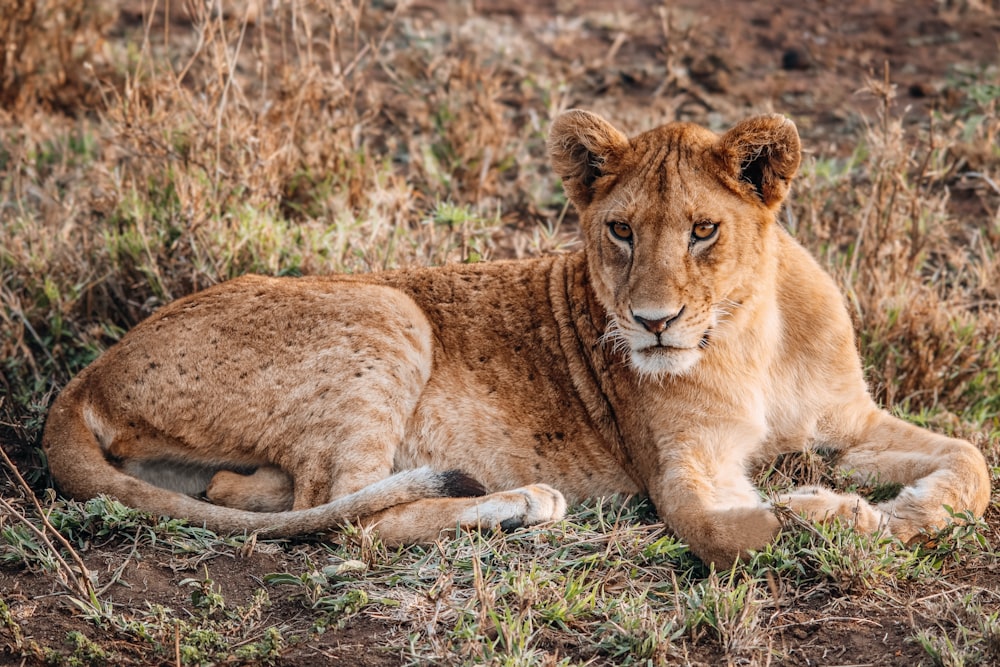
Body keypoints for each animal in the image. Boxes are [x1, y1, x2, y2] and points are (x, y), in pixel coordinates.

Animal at [41, 109, 992, 564]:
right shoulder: (683, 469)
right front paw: (831, 514)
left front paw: (898, 506)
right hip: (388, 310)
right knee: (351, 515)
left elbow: (972, 460)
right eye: (619, 230)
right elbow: (733, 531)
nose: (651, 322)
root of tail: (87, 375)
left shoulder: (848, 421)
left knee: (254, 492)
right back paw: (523, 503)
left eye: (702, 231)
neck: (748, 333)